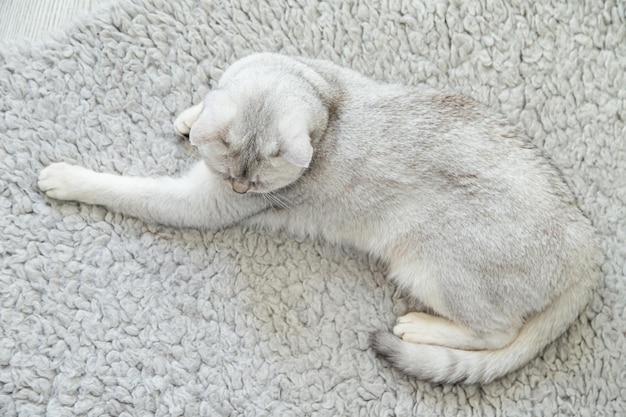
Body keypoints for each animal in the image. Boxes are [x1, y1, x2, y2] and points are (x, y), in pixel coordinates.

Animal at [37, 52, 600, 384]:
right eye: (234, 172)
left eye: (252, 184)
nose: (239, 186)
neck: (329, 101)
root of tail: (587, 252)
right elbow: (208, 102)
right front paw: (191, 118)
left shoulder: (202, 205)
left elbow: (127, 189)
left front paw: (65, 177)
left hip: (432, 266)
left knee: (496, 335)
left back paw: (419, 328)